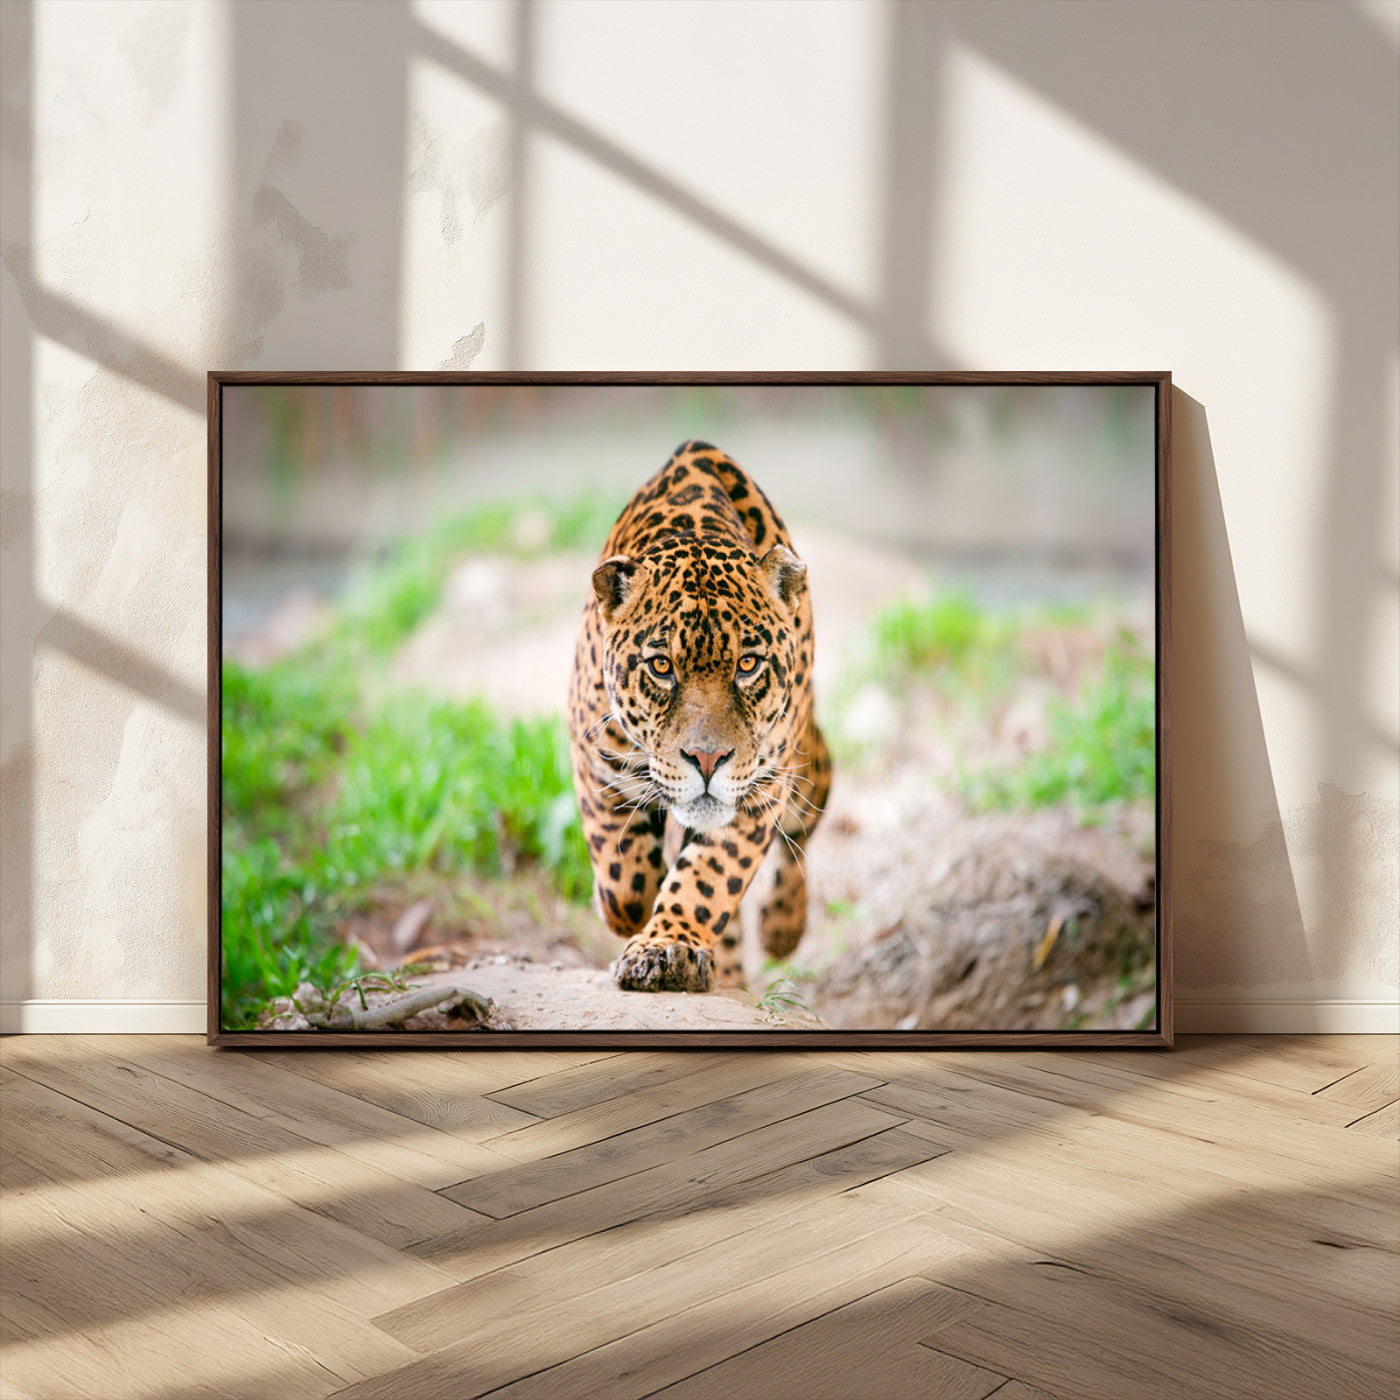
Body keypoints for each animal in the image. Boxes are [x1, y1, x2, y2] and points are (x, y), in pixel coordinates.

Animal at [568, 440, 831, 993]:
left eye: (748, 665)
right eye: (661, 667)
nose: (707, 760)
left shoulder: (760, 789)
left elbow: (708, 879)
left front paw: (667, 946)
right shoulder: (594, 755)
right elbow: (623, 876)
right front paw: (625, 912)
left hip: (807, 767)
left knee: (801, 830)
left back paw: (782, 928)